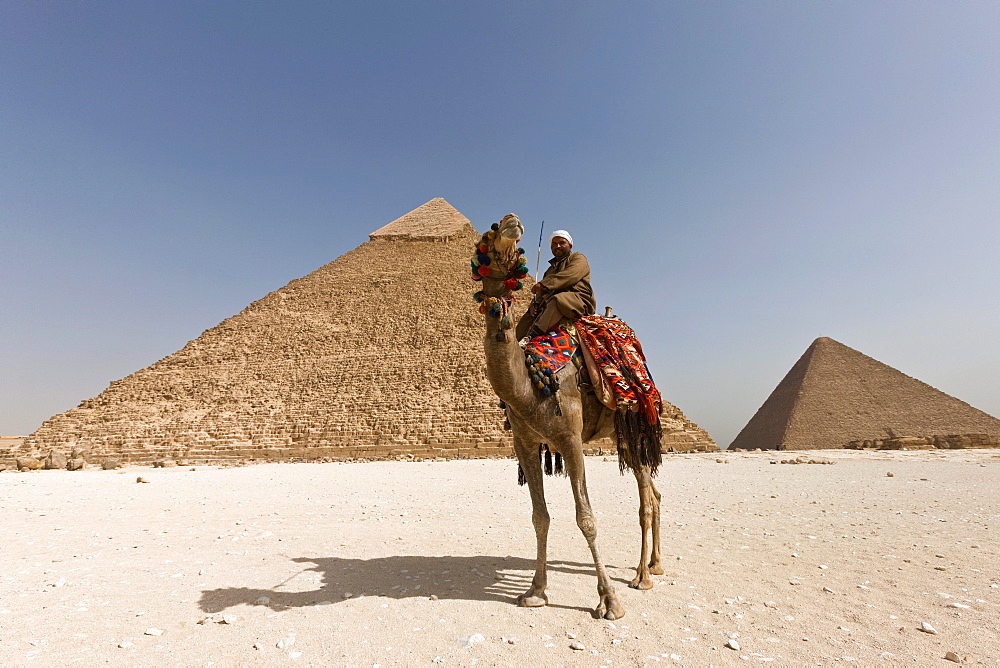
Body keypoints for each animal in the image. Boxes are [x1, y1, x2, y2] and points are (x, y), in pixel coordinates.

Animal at [470, 214, 660, 620]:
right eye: (489, 233)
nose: (512, 222)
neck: (529, 385)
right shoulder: (525, 444)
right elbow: (539, 517)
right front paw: (536, 591)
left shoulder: (571, 440)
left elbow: (585, 518)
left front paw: (609, 601)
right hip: (622, 436)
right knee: (654, 492)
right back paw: (655, 564)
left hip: (635, 427)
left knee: (646, 500)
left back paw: (641, 576)